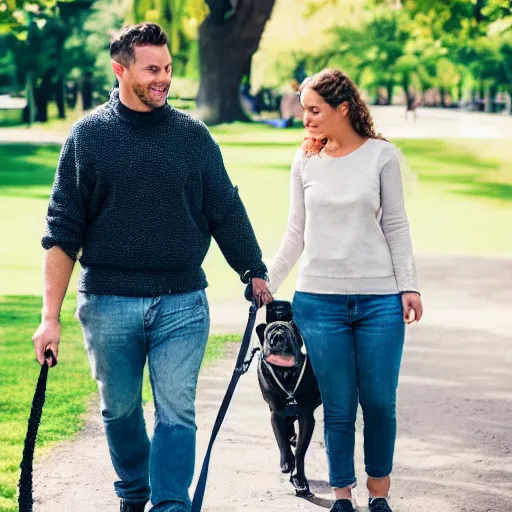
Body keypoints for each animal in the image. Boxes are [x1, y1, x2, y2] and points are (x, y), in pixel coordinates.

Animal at [255, 300, 322, 496]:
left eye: (289, 332)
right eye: (269, 332)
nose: (277, 335)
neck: (286, 373)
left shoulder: (306, 415)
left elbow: (300, 451)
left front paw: (300, 480)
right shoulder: (276, 412)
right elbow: (281, 439)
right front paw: (286, 462)